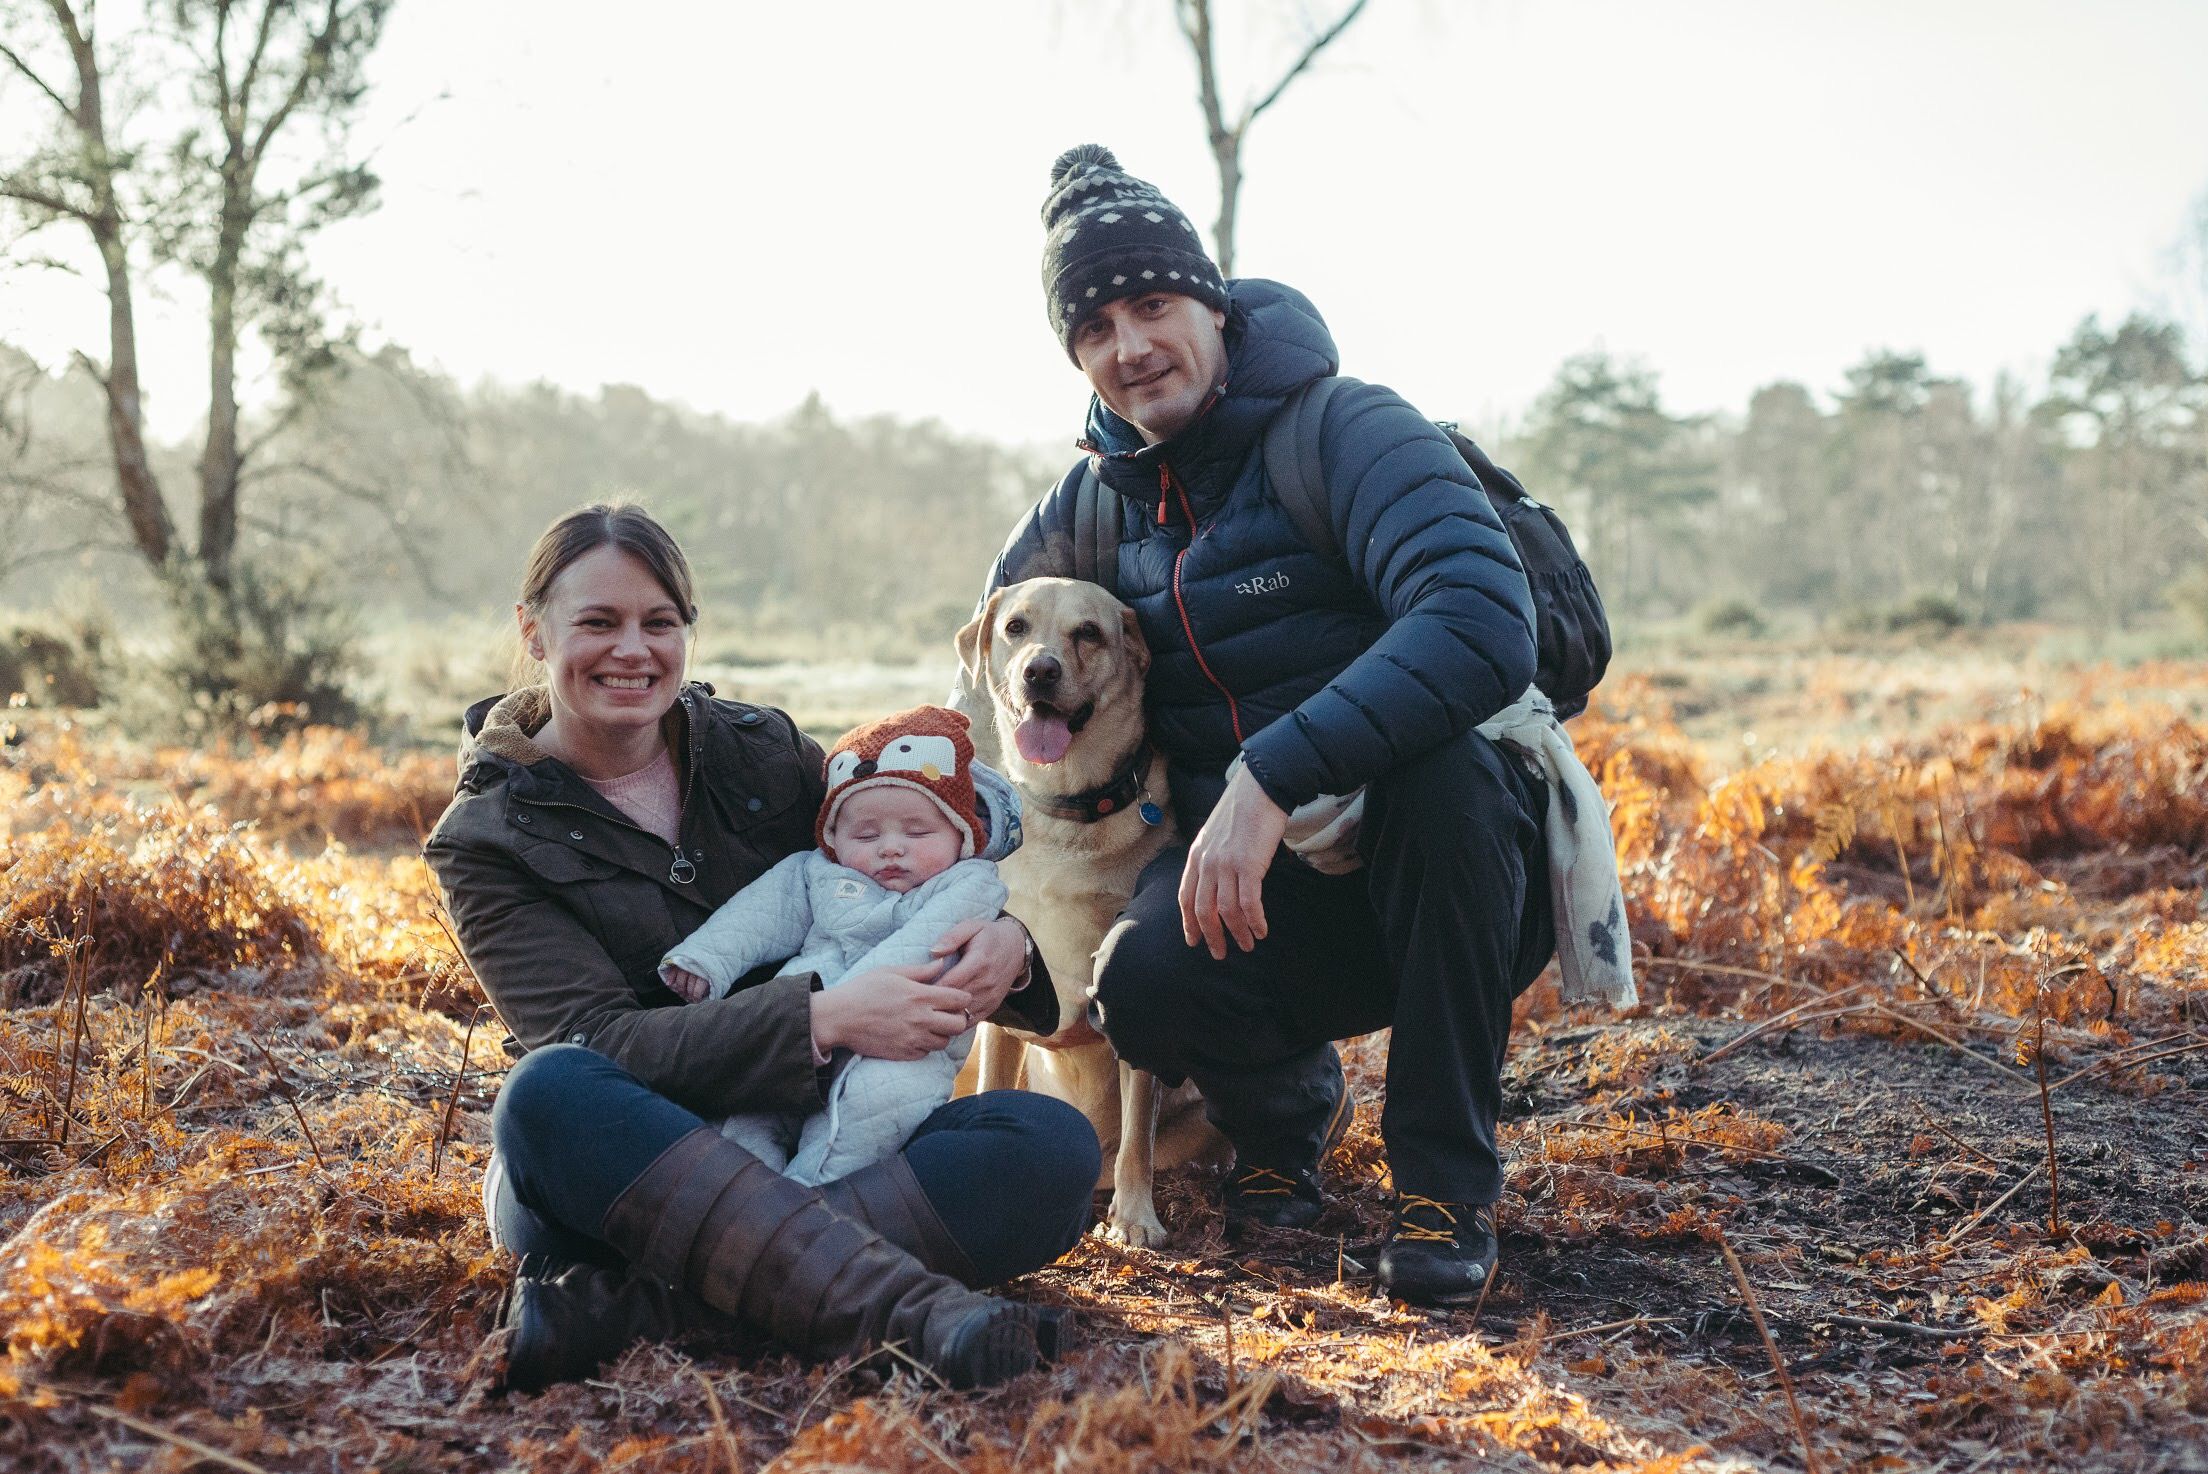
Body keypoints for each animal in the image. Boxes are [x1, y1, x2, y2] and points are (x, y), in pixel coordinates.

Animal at [953, 573, 1227, 1244]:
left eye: (1089, 633)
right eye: (1015, 627)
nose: (1039, 671)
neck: (1067, 811)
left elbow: (1137, 1138)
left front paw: (1135, 1218)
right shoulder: (1002, 1010)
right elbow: (993, 1094)